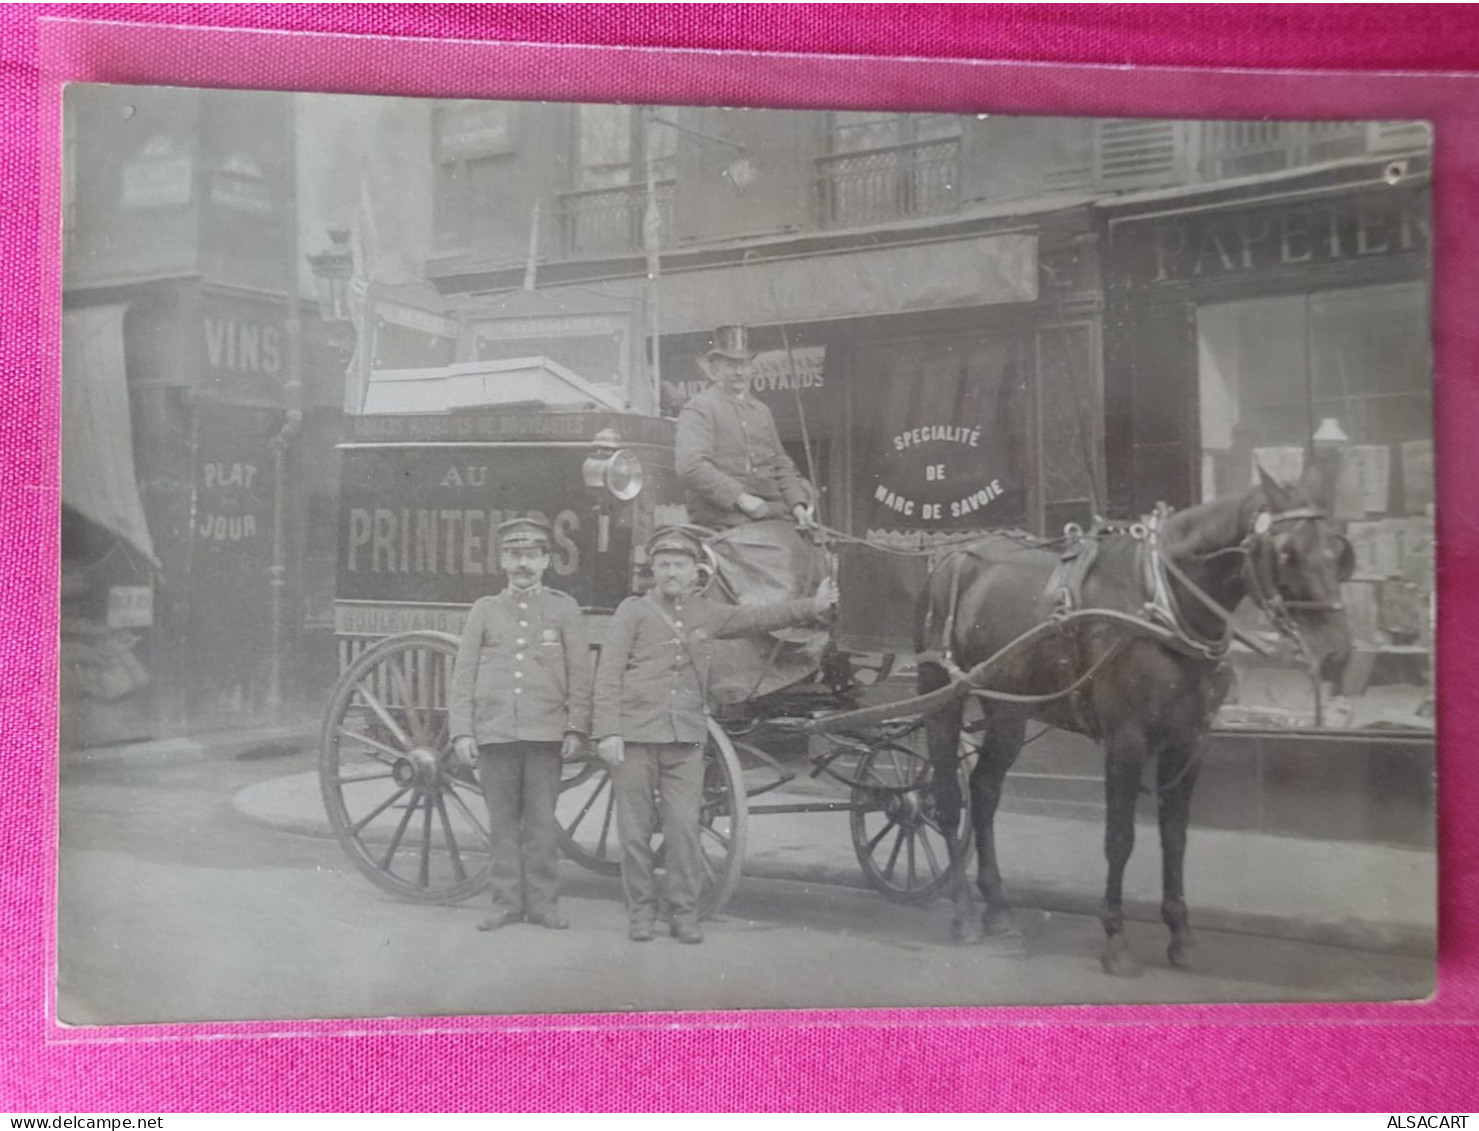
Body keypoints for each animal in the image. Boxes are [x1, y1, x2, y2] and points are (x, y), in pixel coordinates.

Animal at [916, 467, 1354, 969]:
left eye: (1339, 551)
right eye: (1286, 553)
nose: (1337, 655)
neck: (1163, 602)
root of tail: (951, 557)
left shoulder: (1190, 739)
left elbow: (1175, 837)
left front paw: (1181, 935)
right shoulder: (1126, 736)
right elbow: (1120, 838)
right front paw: (1116, 938)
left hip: (1008, 709)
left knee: (985, 790)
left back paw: (999, 911)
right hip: (941, 696)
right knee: (948, 799)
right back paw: (965, 912)